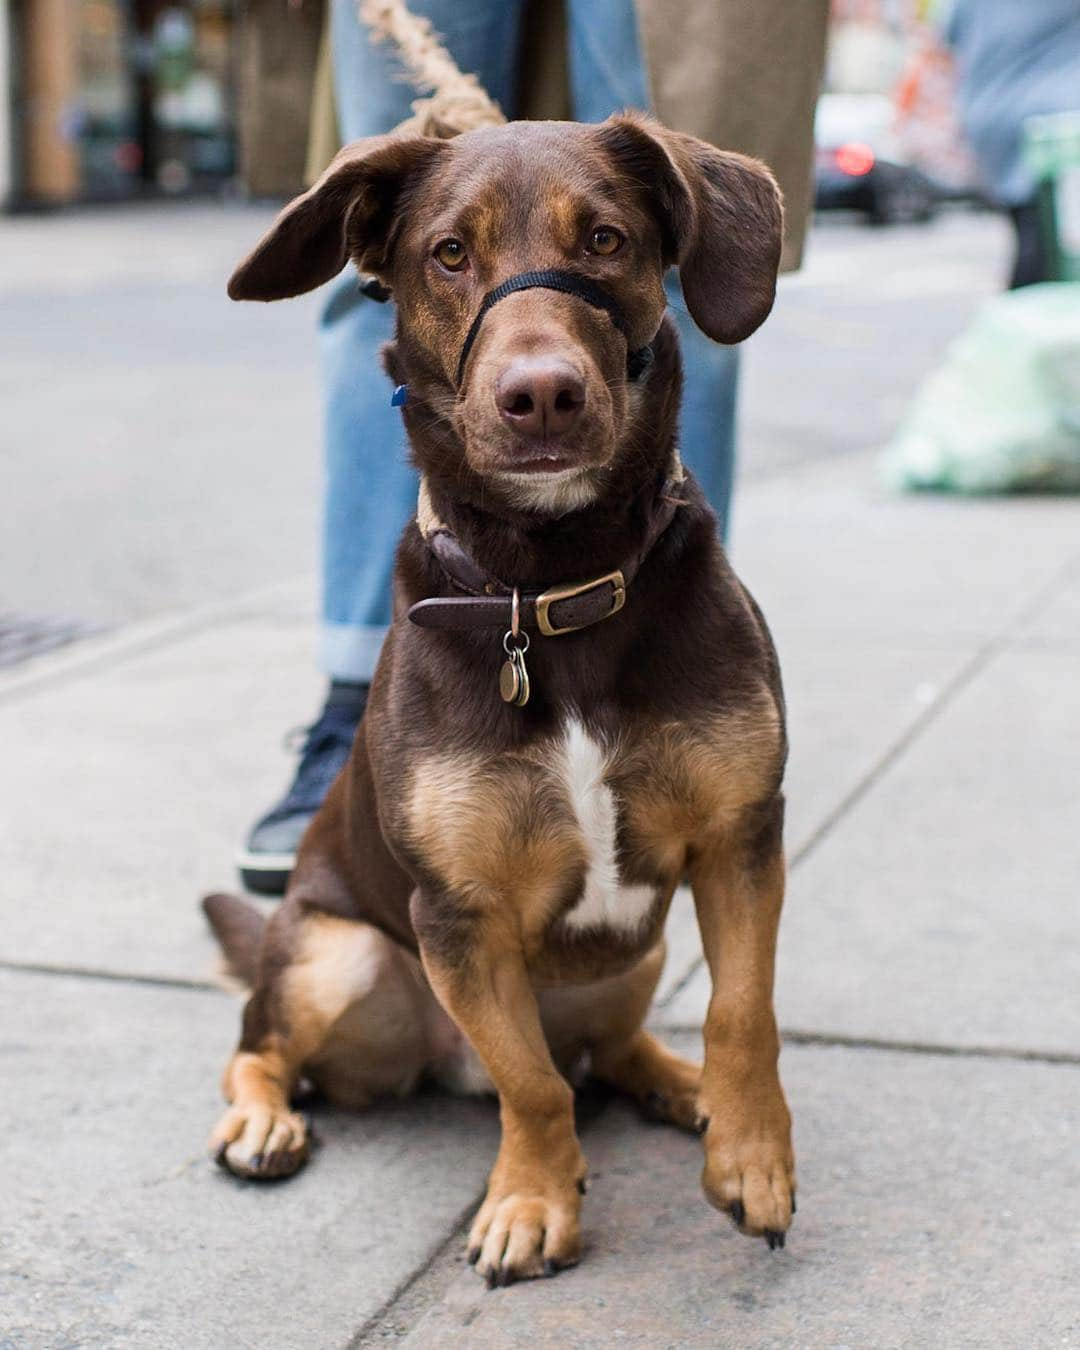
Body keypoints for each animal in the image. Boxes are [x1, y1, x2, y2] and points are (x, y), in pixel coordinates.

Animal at [205, 113, 793, 1285]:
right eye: (447, 254)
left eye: (607, 239)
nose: (543, 394)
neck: (552, 587)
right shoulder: (457, 916)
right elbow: (532, 1084)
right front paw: (530, 1200)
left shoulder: (742, 836)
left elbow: (742, 1013)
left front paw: (751, 1154)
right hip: (341, 957)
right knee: (264, 1048)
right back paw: (260, 1119)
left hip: (640, 953)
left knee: (614, 1047)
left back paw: (682, 1088)